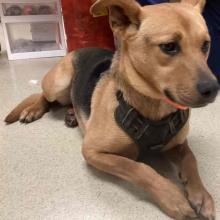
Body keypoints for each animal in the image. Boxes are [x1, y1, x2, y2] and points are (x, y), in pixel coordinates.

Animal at [4, 0, 218, 219]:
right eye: (169, 47)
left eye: (205, 45)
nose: (213, 89)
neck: (154, 110)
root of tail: (80, 48)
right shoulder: (93, 151)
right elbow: (138, 167)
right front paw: (172, 197)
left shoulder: (178, 143)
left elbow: (191, 160)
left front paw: (201, 194)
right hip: (58, 83)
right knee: (44, 96)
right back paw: (33, 110)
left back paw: (72, 115)